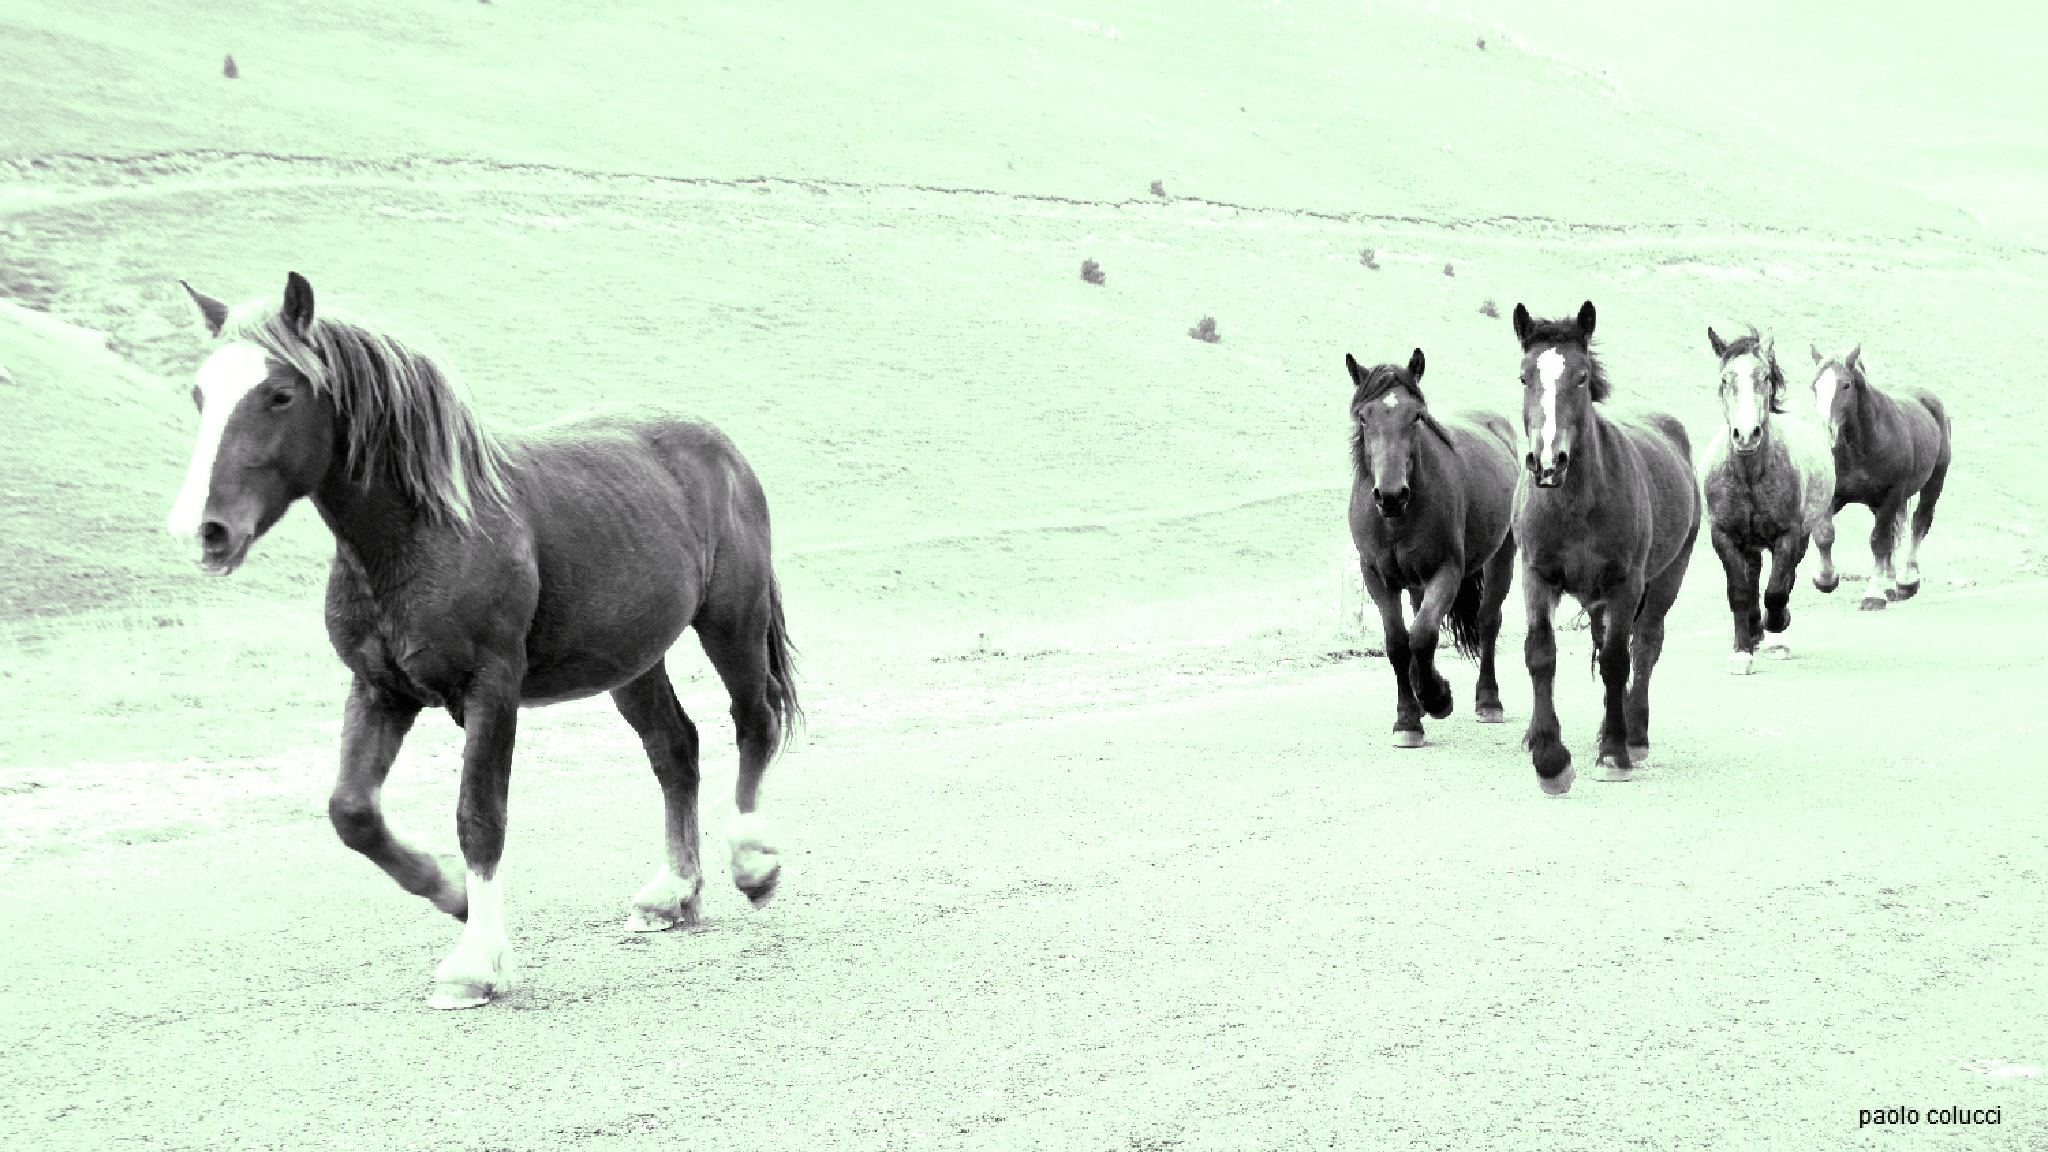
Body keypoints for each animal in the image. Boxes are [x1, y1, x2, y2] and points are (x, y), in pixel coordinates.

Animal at [168, 273, 800, 1009]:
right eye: (200, 394)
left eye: (279, 394)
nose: (203, 530)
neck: (426, 534)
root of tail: (721, 448)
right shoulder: (379, 689)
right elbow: (353, 813)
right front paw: (450, 894)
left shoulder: (489, 690)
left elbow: (480, 815)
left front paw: (476, 963)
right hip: (632, 660)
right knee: (675, 749)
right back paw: (673, 894)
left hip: (732, 622)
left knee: (753, 722)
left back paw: (753, 863)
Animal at [1345, 349, 1519, 747]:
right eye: (1364, 416)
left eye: (1416, 416)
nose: (1391, 495)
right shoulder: (1377, 577)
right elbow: (1398, 642)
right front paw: (1408, 718)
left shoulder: (1446, 572)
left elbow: (1423, 636)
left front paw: (1437, 698)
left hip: (1502, 556)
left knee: (1488, 621)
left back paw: (1488, 701)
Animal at [1510, 302, 1700, 794]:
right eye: (1524, 377)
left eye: (1581, 377)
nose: (1547, 462)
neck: (1575, 501)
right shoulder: (1535, 576)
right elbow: (1541, 653)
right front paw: (1550, 758)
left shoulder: (1625, 584)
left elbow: (1618, 661)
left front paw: (1613, 753)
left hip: (1667, 579)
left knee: (1645, 645)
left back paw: (1632, 734)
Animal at [1701, 326, 1835, 674]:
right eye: (1725, 379)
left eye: (1764, 376)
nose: (1747, 434)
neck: (1750, 476)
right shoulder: (1724, 536)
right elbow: (1739, 591)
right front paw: (1741, 652)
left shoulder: (1788, 535)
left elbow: (1776, 590)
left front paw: (1777, 627)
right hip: (1748, 541)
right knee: (1753, 574)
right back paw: (1752, 629)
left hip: (1800, 536)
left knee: (1784, 578)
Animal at [1806, 345, 1952, 609]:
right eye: (1814, 386)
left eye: (1846, 385)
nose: (1824, 431)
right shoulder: (1834, 496)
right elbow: (1825, 534)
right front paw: (1825, 578)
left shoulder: (1891, 495)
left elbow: (1879, 541)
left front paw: (1873, 594)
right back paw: (1890, 583)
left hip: (1934, 483)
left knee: (1919, 523)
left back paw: (1906, 580)